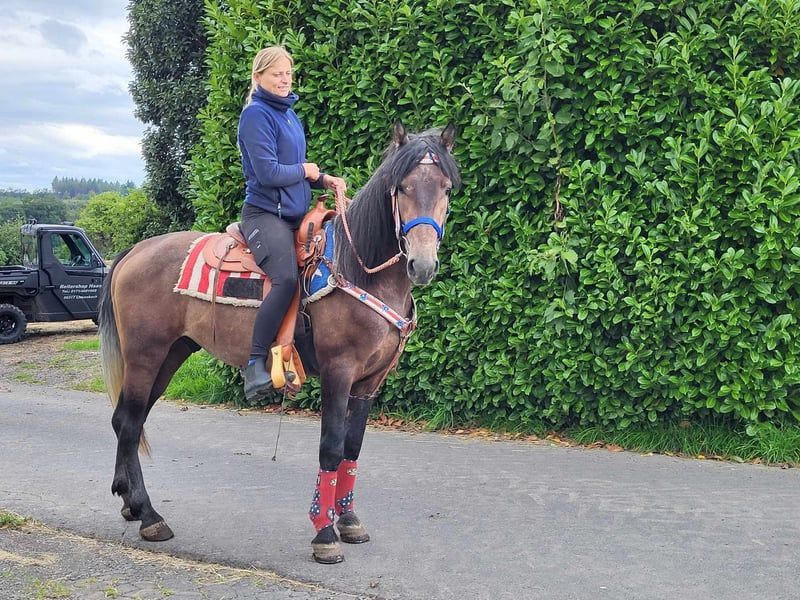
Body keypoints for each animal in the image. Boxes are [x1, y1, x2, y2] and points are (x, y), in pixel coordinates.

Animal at [98, 120, 462, 564]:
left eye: (446, 188)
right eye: (402, 187)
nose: (422, 264)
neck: (357, 268)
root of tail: (135, 250)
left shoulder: (369, 383)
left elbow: (353, 448)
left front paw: (349, 520)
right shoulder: (339, 373)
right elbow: (331, 447)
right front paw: (324, 534)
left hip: (170, 355)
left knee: (127, 421)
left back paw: (131, 504)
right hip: (145, 355)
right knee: (130, 422)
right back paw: (149, 515)